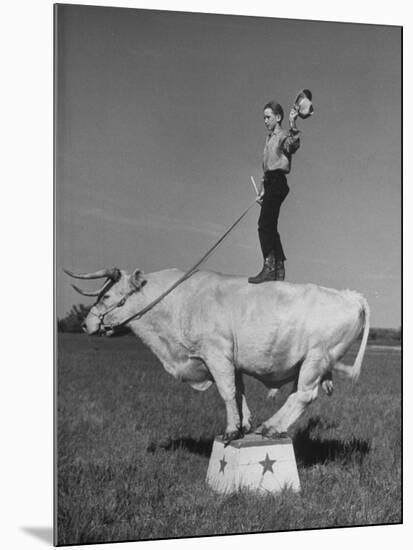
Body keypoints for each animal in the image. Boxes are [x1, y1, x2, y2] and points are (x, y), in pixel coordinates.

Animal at [67, 270, 370, 446]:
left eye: (107, 295)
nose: (84, 324)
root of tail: (350, 296)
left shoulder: (215, 353)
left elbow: (226, 391)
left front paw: (231, 430)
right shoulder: (226, 361)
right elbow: (238, 391)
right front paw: (244, 424)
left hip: (315, 359)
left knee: (304, 396)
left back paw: (271, 427)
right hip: (307, 364)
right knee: (298, 396)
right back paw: (272, 426)